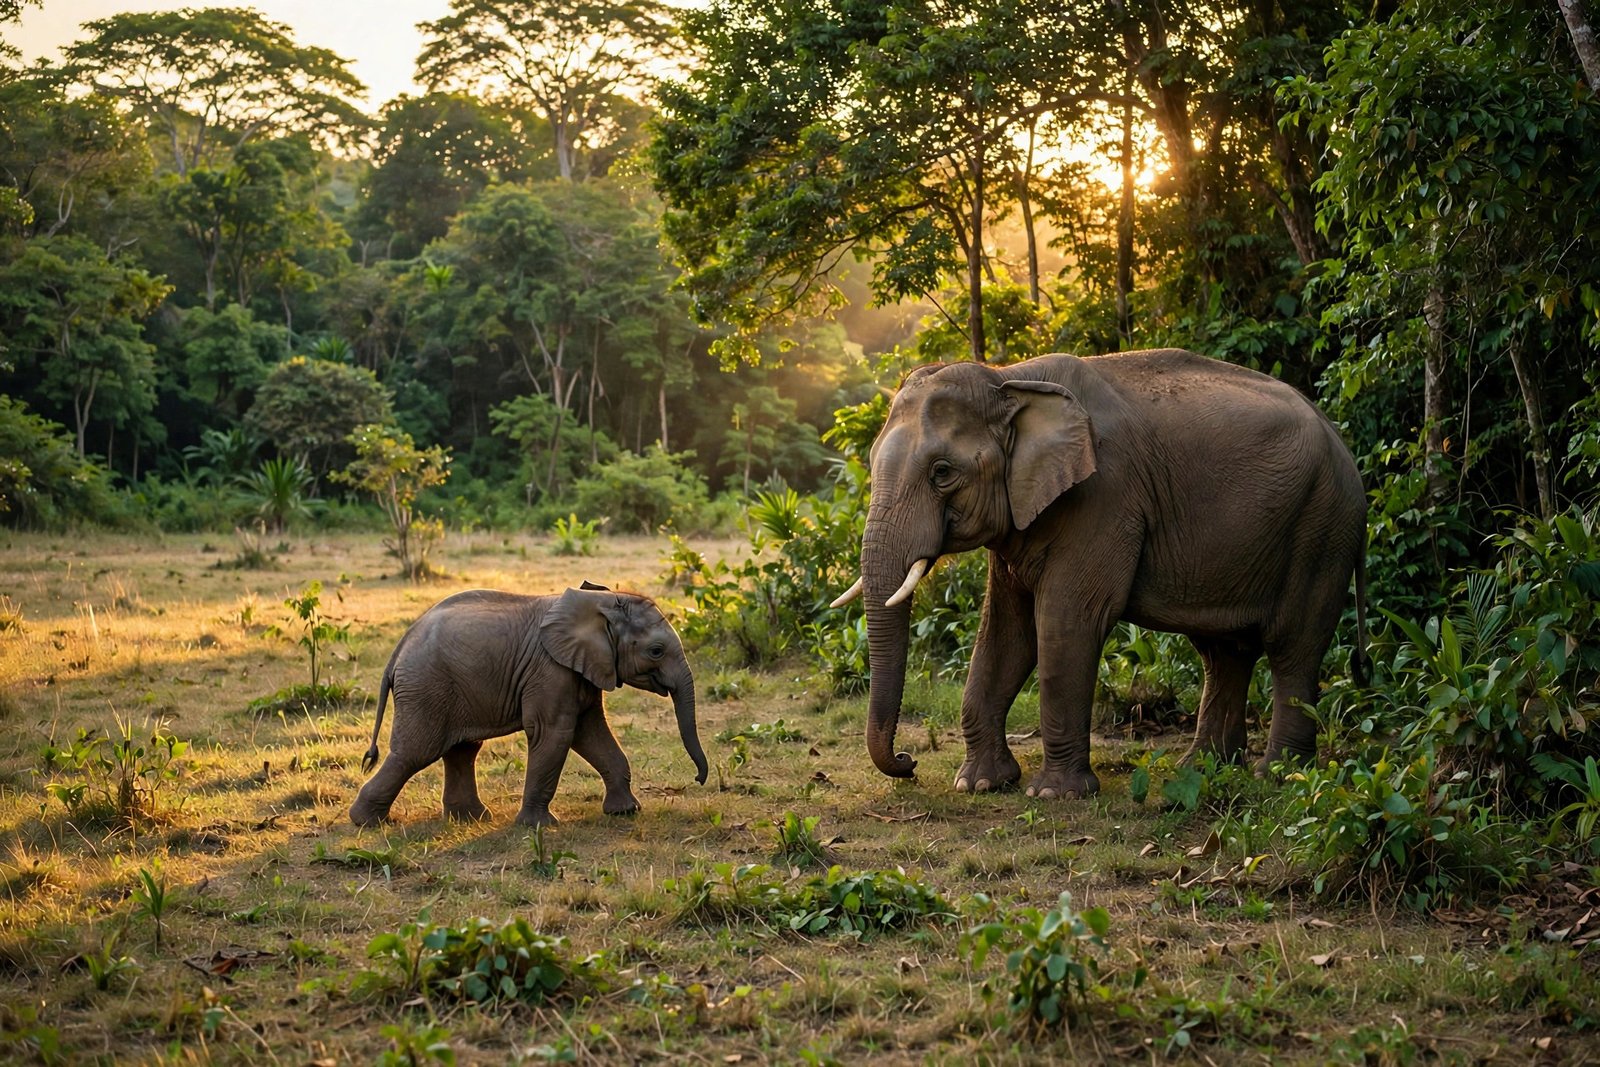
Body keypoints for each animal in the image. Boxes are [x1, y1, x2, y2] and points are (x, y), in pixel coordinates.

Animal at [349, 583, 708, 828]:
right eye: (656, 651)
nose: (697, 779)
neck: (602, 601)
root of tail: (400, 648)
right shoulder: (550, 670)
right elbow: (555, 734)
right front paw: (538, 827)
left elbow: (590, 732)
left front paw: (625, 812)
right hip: (426, 686)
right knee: (416, 752)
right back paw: (367, 822)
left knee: (462, 749)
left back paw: (471, 820)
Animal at [833, 349, 1367, 799]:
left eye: (942, 472)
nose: (908, 762)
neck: (1010, 380)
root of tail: (1343, 442)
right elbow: (1007, 630)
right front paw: (981, 785)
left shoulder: (1104, 497)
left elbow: (1067, 621)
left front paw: (1054, 795)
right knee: (1225, 651)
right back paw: (1202, 769)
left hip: (1323, 527)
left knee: (1291, 646)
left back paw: (1278, 776)